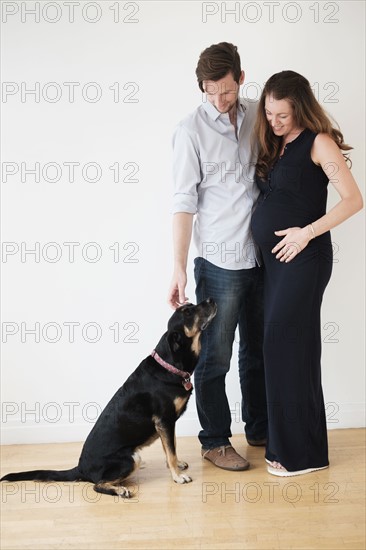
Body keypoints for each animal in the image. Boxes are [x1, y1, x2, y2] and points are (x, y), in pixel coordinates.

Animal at [0, 302, 217, 500]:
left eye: (190, 305)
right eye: (188, 312)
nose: (211, 300)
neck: (169, 366)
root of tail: (80, 469)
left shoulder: (167, 424)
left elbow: (171, 447)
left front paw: (177, 465)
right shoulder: (164, 420)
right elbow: (170, 450)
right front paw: (177, 476)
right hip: (130, 458)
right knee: (97, 485)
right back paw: (120, 490)